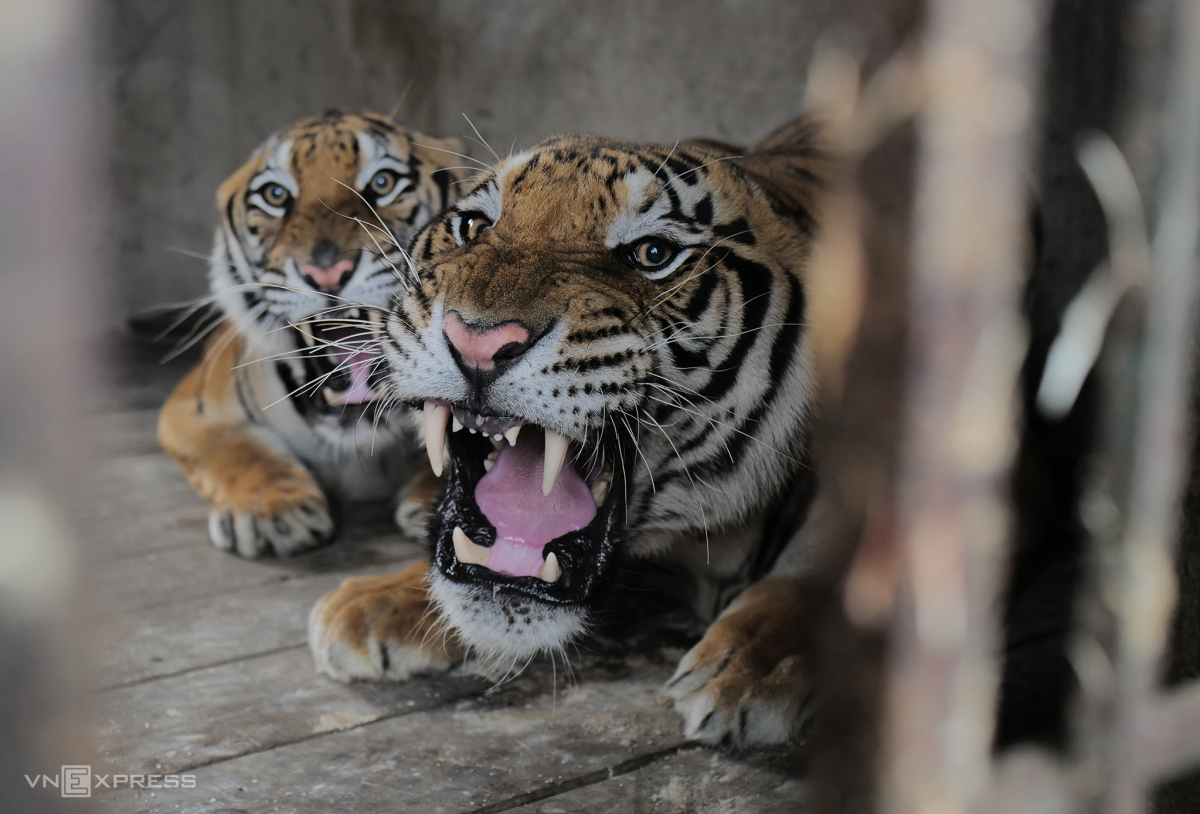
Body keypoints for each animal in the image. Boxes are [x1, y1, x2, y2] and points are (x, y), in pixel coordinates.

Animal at [158, 109, 472, 561]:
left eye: (383, 183)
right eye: (275, 195)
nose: (326, 271)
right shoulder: (192, 408)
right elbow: (237, 449)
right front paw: (273, 513)